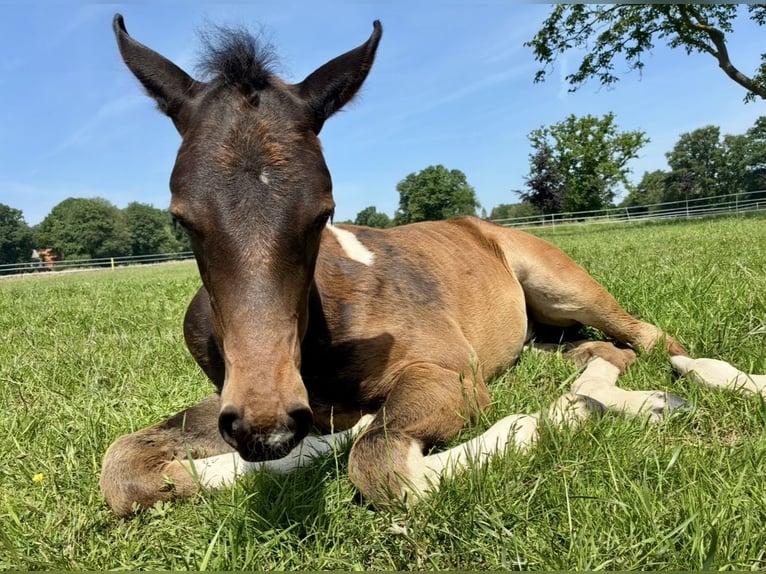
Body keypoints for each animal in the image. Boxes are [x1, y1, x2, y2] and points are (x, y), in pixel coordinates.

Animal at [100, 14, 765, 517]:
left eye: (323, 212)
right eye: (182, 218)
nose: (267, 424)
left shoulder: (447, 374)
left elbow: (382, 465)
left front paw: (551, 420)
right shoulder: (234, 402)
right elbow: (124, 466)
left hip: (561, 284)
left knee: (650, 338)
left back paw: (709, 385)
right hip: (540, 336)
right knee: (599, 352)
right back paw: (619, 394)